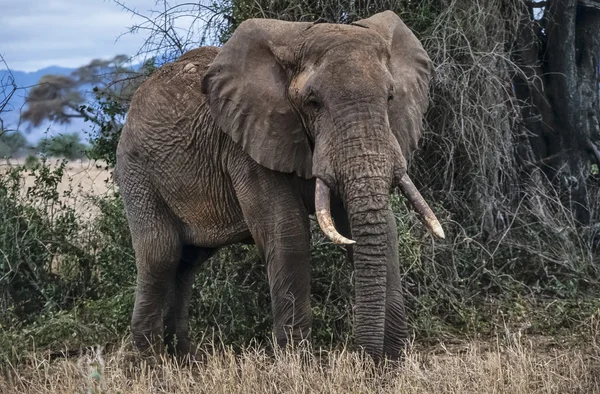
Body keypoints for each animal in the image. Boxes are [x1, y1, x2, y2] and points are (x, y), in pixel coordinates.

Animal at [115, 10, 442, 362]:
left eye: (390, 97)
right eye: (313, 102)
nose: (369, 360)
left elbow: (378, 230)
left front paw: (394, 362)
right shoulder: (246, 145)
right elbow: (288, 233)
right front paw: (297, 365)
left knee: (186, 264)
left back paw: (183, 362)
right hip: (137, 171)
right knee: (161, 255)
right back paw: (152, 365)